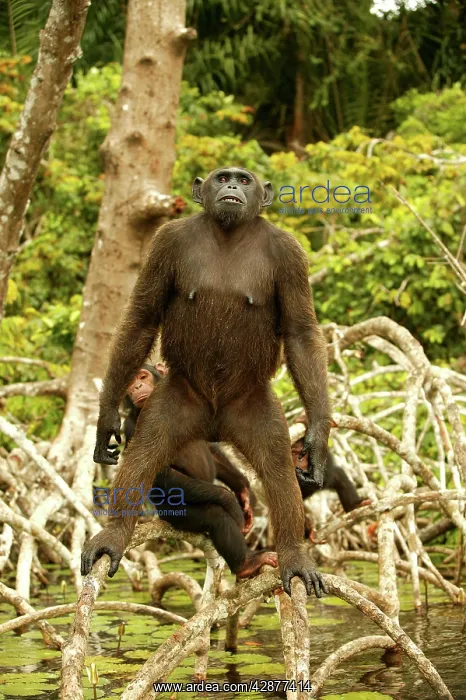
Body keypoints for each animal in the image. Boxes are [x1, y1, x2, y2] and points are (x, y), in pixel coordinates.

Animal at [81, 166, 331, 598]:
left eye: (244, 180)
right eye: (222, 177)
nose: (230, 187)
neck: (229, 234)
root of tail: (214, 422)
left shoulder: (291, 255)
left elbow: (300, 332)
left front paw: (316, 436)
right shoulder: (165, 242)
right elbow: (142, 318)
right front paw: (106, 417)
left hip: (251, 407)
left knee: (278, 468)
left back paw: (290, 556)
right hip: (178, 400)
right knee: (145, 454)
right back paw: (113, 536)